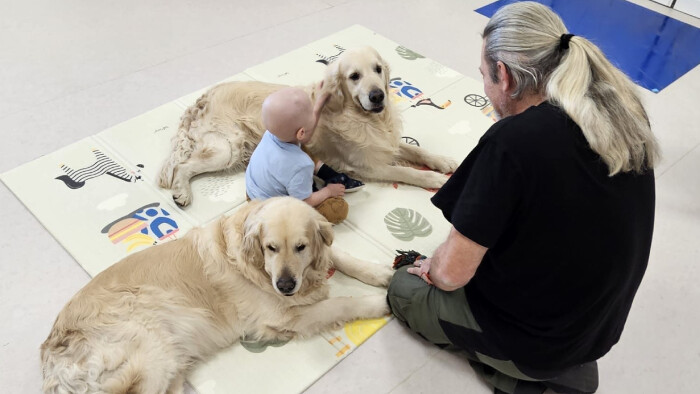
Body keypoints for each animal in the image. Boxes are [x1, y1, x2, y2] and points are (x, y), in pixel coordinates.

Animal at [41, 199, 394, 392]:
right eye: (271, 248)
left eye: (301, 246)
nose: (285, 286)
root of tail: (51, 352)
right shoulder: (284, 316)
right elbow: (341, 303)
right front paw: (382, 301)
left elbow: (340, 257)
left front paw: (383, 274)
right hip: (150, 354)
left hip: (170, 365)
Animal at [157, 45, 460, 206]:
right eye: (354, 76)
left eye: (377, 69)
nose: (378, 96)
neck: (366, 118)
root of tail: (202, 99)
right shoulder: (367, 165)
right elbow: (407, 172)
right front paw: (435, 180)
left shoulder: (384, 142)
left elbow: (416, 150)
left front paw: (444, 162)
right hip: (227, 149)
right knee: (183, 166)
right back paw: (181, 193)